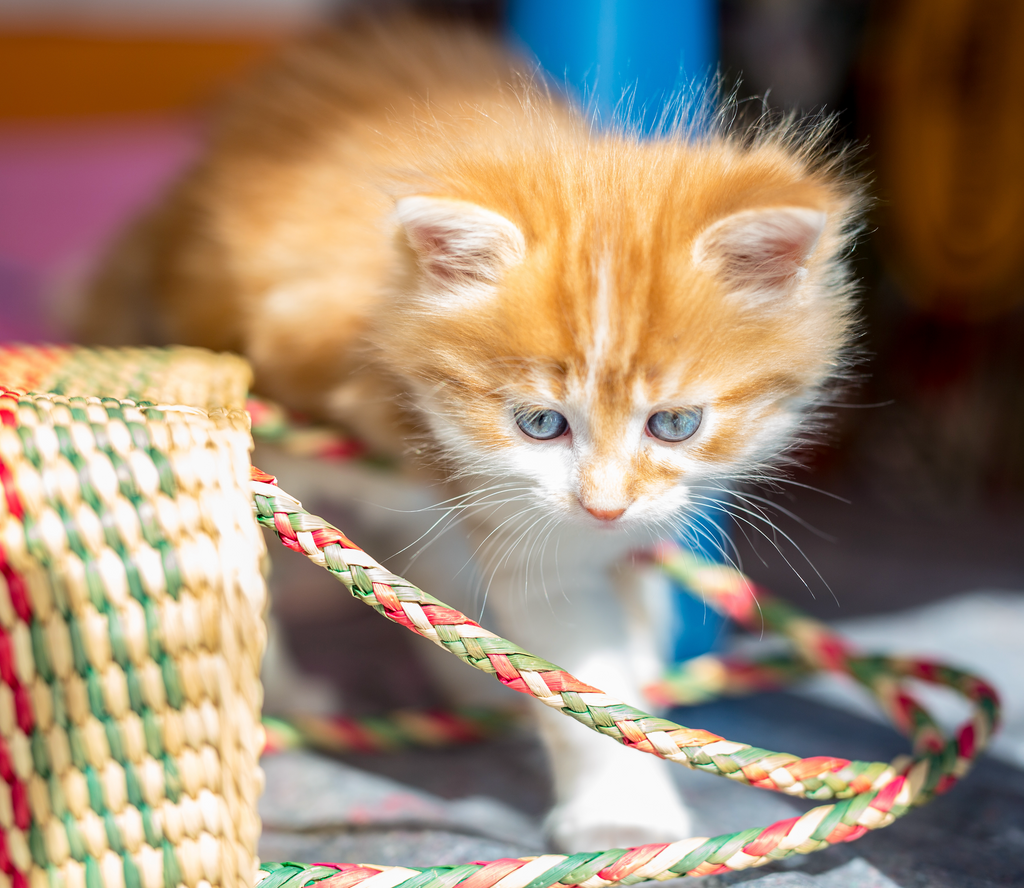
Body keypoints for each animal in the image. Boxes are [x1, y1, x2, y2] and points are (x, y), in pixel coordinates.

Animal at [83, 13, 864, 856]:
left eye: (675, 424)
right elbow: (575, 669)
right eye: (541, 423)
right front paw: (620, 811)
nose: (603, 507)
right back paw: (287, 695)